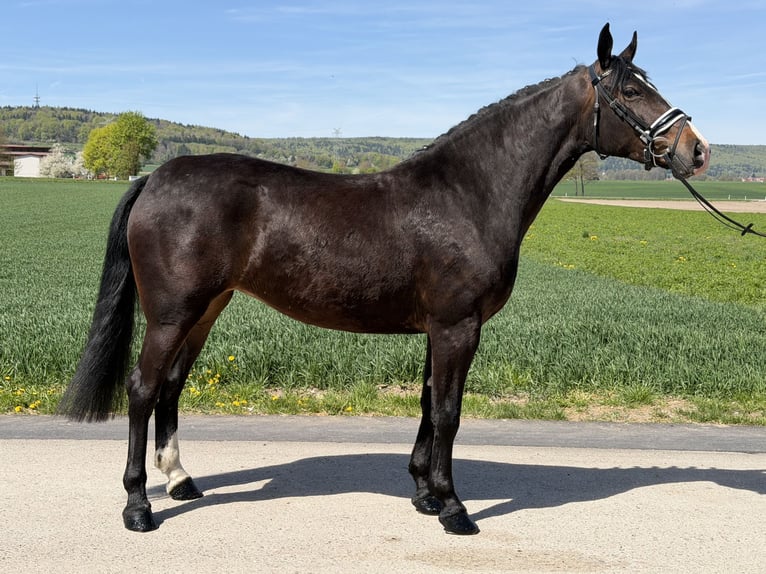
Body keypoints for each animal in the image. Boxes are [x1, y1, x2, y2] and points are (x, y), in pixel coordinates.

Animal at [58, 23, 710, 535]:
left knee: (170, 387)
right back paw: (138, 507)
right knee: (143, 390)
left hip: (206, 308)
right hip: (172, 313)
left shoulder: (439, 328)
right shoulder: (457, 327)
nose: (698, 150)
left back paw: (180, 481)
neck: (467, 193)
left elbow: (427, 404)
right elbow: (448, 412)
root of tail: (156, 177)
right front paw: (454, 509)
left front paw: (424, 494)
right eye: (631, 89)